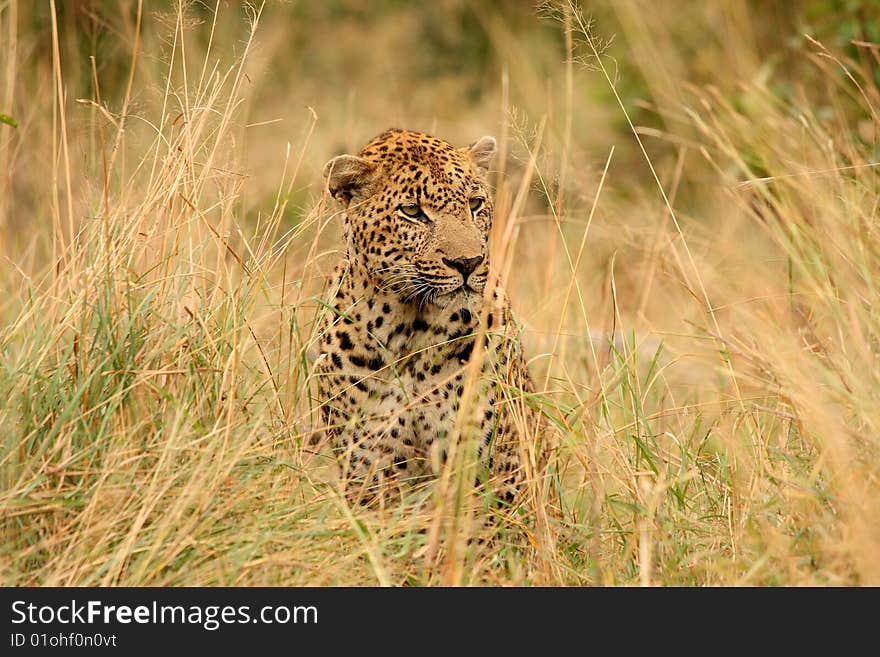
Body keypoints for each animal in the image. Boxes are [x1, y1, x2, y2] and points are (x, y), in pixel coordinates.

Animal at [312, 128, 540, 504]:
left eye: (475, 204)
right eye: (412, 211)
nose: (468, 263)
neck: (409, 328)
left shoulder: (495, 466)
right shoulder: (367, 467)